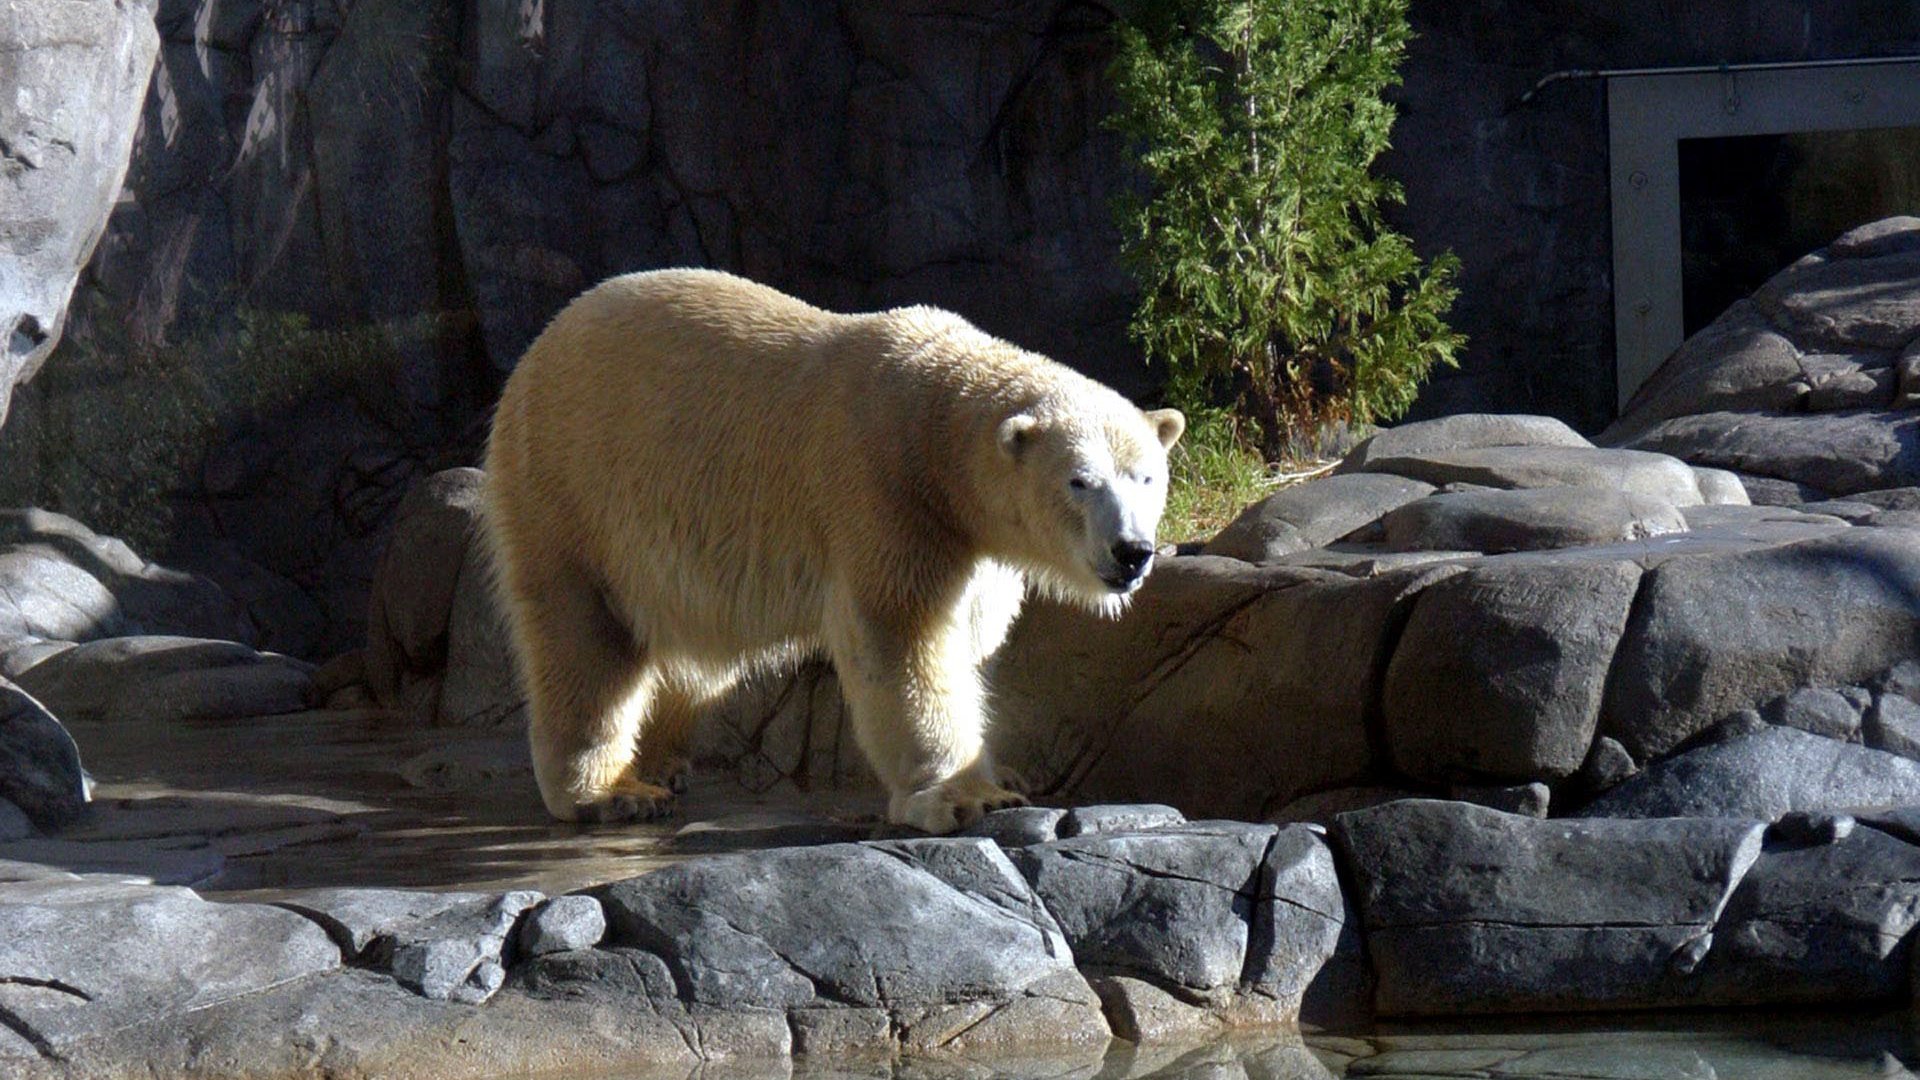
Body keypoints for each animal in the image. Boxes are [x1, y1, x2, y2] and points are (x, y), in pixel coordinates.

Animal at [483, 269, 1182, 834]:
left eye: (1147, 477)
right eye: (1080, 481)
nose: (1133, 552)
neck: (932, 425)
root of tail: (536, 352)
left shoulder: (974, 542)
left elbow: (972, 635)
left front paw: (1000, 774)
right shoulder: (883, 493)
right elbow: (901, 640)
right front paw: (965, 796)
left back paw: (662, 762)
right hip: (571, 488)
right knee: (586, 640)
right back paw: (611, 792)